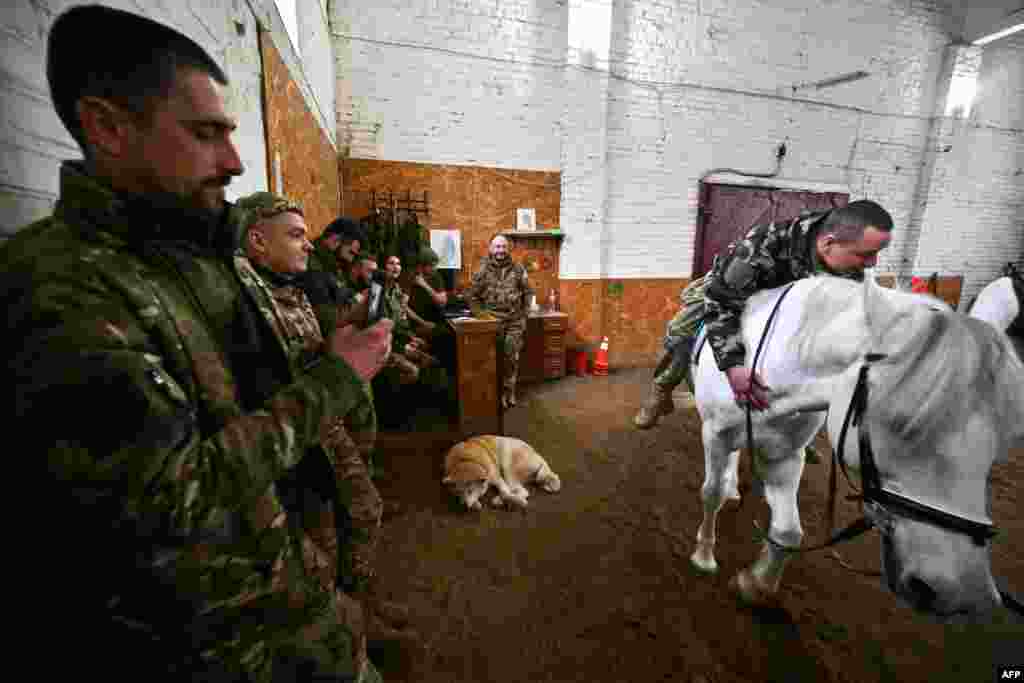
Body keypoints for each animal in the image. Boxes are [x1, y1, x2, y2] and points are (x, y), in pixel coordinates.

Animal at [688, 274, 1024, 618]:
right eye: (900, 421)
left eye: (1002, 441)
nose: (962, 592)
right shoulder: (714, 435)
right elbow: (710, 494)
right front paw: (704, 557)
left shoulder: (784, 456)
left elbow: (789, 533)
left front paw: (755, 585)